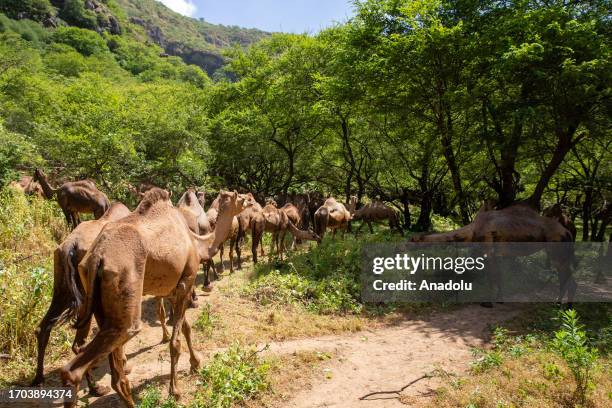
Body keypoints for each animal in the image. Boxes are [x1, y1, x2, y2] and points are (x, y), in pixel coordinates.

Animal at [59, 188, 246, 404]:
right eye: (240, 198)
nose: (248, 201)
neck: (197, 243)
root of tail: (96, 257)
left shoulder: (171, 291)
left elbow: (186, 328)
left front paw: (196, 363)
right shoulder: (186, 283)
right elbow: (175, 342)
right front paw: (175, 390)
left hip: (99, 303)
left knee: (113, 374)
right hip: (125, 300)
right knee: (76, 370)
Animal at [408, 202, 576, 304]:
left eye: (412, 239)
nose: (402, 247)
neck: (473, 231)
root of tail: (568, 232)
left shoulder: (489, 249)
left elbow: (492, 277)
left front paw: (489, 301)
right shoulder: (496, 253)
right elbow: (498, 276)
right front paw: (500, 299)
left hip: (557, 249)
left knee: (566, 275)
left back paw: (564, 305)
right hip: (561, 252)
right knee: (566, 275)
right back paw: (560, 302)